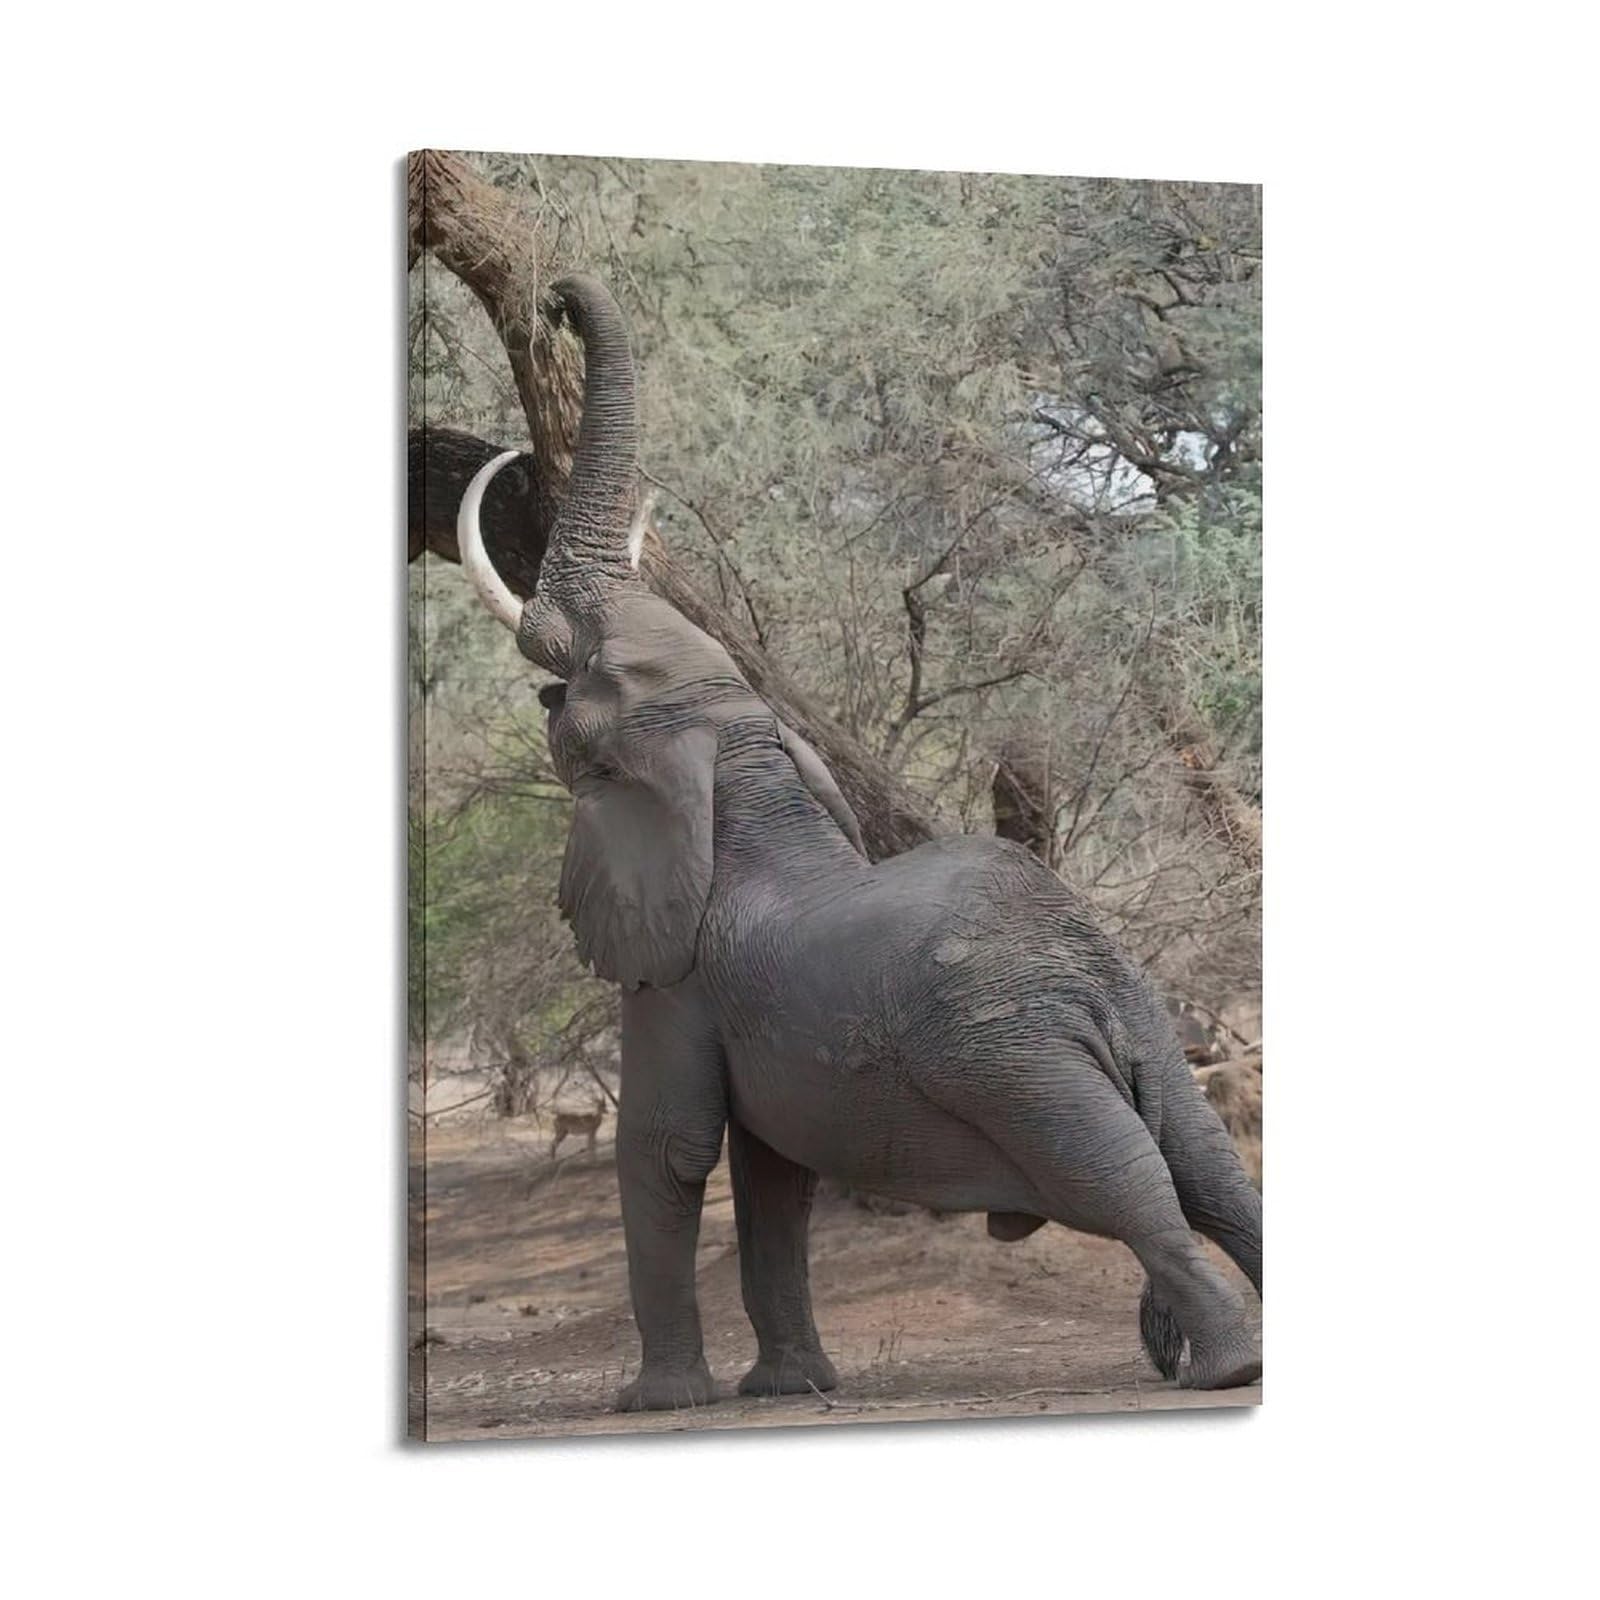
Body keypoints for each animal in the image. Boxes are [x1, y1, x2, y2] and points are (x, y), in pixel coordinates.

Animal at [452, 273, 1262, 1410]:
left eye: (588, 694)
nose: (559, 299)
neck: (738, 760)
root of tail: (1092, 978)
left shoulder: (678, 976)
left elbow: (669, 1147)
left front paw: (659, 1402)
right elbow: (772, 1175)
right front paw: (786, 1390)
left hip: (1010, 1056)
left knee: (1128, 1181)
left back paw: (1230, 1368)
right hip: (1139, 1020)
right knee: (1212, 1171)